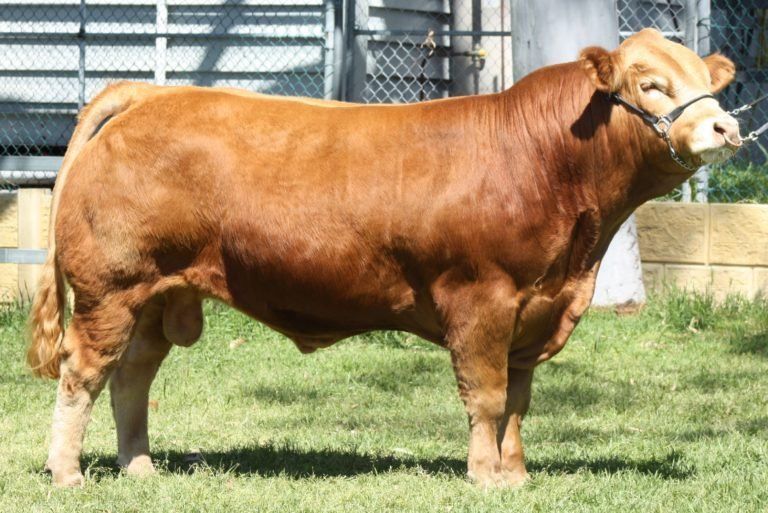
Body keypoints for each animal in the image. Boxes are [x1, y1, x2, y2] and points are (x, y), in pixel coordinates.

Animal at [27, 28, 739, 488]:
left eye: (706, 81)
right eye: (650, 84)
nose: (725, 127)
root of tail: (148, 94)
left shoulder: (537, 308)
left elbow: (517, 401)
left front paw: (515, 475)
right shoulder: (482, 298)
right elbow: (486, 395)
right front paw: (486, 478)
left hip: (157, 294)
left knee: (131, 377)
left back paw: (140, 468)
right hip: (112, 287)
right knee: (82, 374)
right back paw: (68, 474)